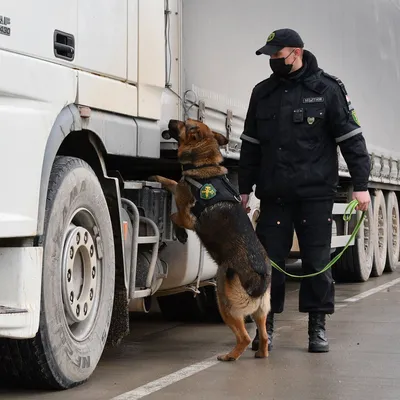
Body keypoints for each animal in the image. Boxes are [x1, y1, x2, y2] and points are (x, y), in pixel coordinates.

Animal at [150, 118, 272, 360]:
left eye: (184, 124)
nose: (170, 120)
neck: (203, 164)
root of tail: (260, 275)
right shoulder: (181, 189)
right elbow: (172, 181)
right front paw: (158, 177)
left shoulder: (187, 216)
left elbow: (174, 213)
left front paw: (179, 233)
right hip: (261, 311)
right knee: (263, 335)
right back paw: (261, 353)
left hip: (225, 302)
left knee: (244, 337)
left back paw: (230, 356)